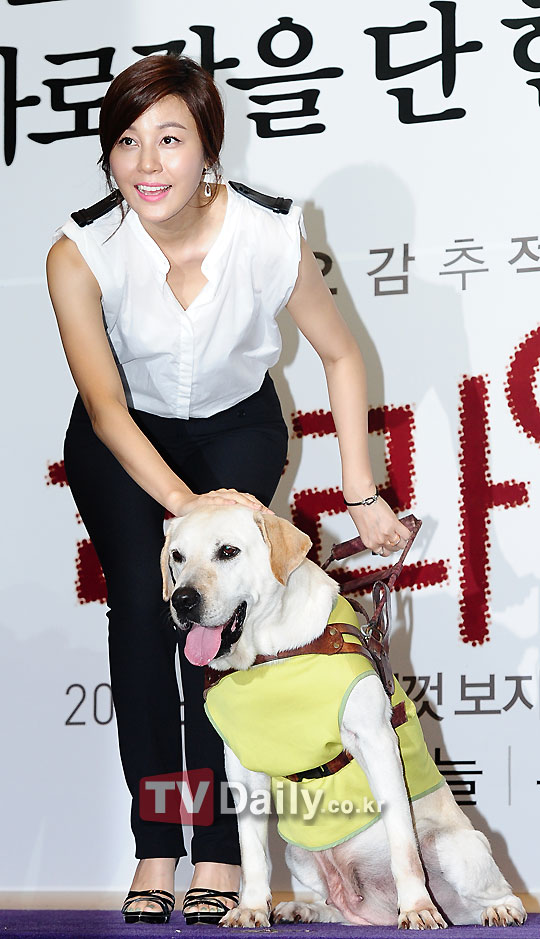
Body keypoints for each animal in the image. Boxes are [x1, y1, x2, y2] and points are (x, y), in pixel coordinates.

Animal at [161, 505, 526, 929]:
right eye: (177, 557)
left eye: (228, 551)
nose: (183, 601)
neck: (269, 653)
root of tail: (379, 912)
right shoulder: (240, 765)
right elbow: (252, 851)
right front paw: (251, 907)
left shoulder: (376, 741)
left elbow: (403, 845)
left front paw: (417, 908)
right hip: (300, 856)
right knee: (343, 910)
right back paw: (302, 908)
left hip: (456, 847)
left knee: (489, 894)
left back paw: (497, 909)